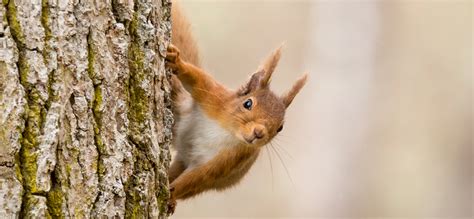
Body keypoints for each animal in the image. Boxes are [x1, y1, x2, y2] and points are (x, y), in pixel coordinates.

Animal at [167, 1, 308, 214]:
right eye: (247, 103)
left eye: (280, 128)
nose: (259, 133)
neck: (228, 131)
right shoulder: (214, 98)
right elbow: (196, 79)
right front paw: (177, 61)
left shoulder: (230, 161)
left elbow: (195, 179)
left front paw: (168, 194)